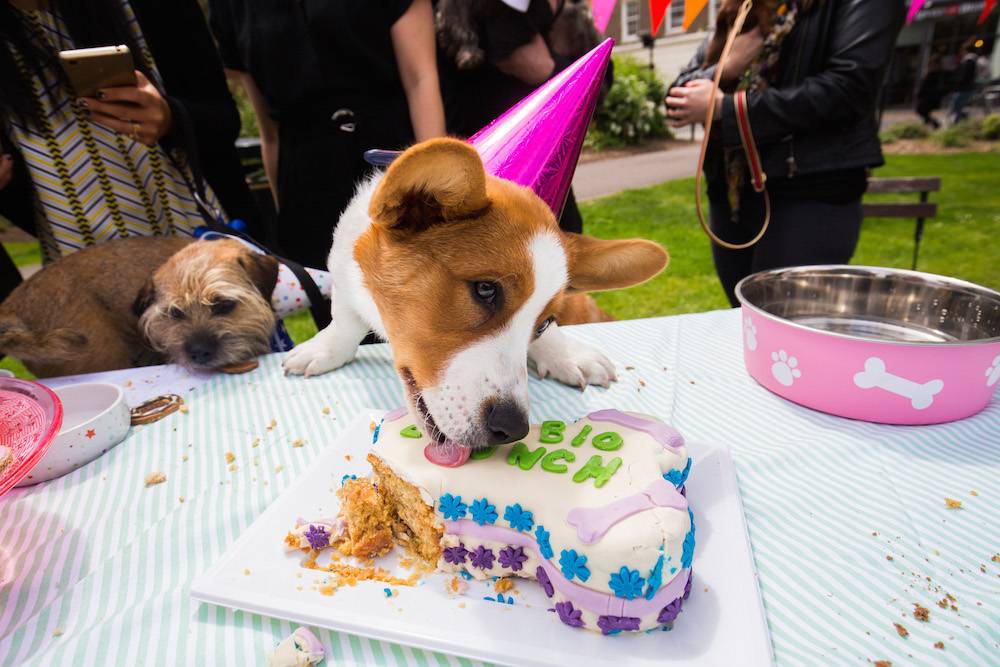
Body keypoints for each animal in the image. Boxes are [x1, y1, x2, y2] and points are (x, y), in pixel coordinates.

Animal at [282, 140, 668, 464]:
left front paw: (568, 354)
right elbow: (345, 320)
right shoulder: (343, 278)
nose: (512, 429)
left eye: (542, 324)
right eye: (485, 290)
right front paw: (325, 349)